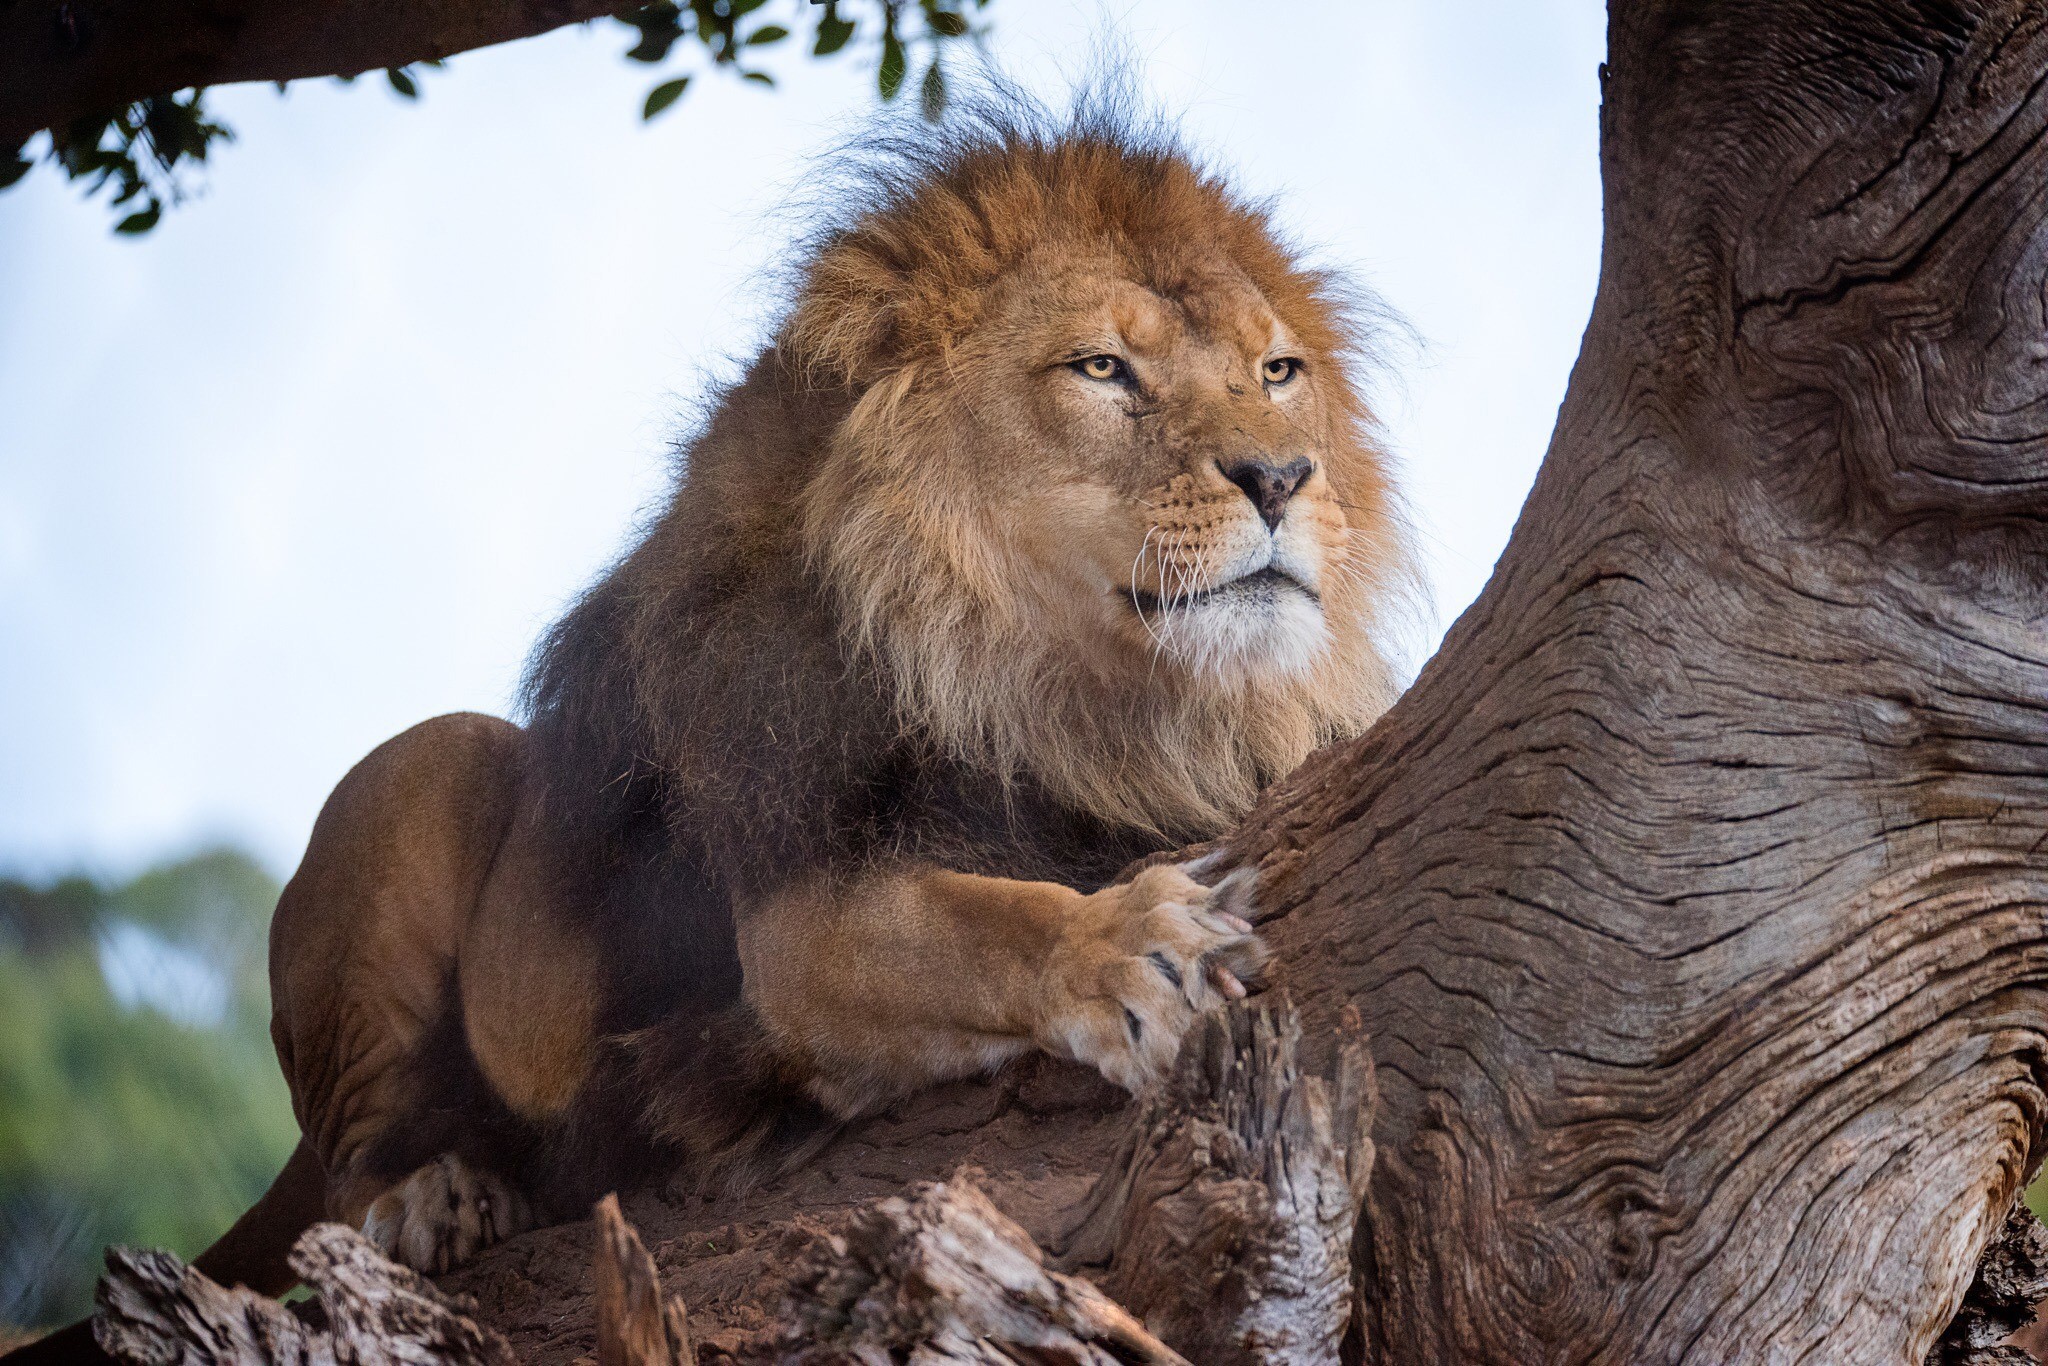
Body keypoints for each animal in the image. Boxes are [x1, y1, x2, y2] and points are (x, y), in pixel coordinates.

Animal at [8, 94, 1414, 1357]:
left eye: (1277, 373)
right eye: (1102, 369)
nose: (1282, 477)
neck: (1085, 697)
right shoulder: (794, 916)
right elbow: (988, 920)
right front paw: (1131, 946)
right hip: (424, 768)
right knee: (344, 1174)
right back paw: (428, 1196)